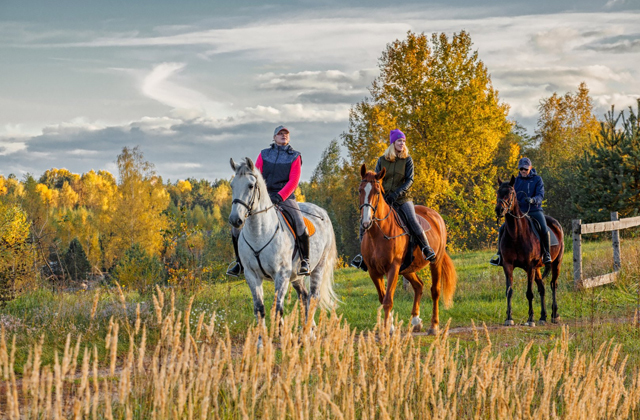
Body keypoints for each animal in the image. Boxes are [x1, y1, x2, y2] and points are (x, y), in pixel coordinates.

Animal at [230, 156, 340, 340]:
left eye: (251, 186)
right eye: (232, 185)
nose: (235, 220)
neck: (259, 232)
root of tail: (322, 212)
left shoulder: (281, 275)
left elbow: (278, 309)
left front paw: (281, 336)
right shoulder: (252, 275)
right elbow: (260, 309)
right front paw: (261, 342)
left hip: (318, 267)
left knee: (313, 297)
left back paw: (308, 333)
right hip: (295, 276)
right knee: (304, 296)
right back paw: (309, 330)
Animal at [360, 164, 456, 334]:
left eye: (377, 192)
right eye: (360, 190)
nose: (366, 222)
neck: (378, 234)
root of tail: (436, 215)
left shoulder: (393, 268)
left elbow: (388, 300)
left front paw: (387, 330)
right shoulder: (374, 271)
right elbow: (383, 298)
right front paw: (390, 326)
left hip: (435, 261)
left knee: (435, 291)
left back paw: (434, 326)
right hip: (408, 268)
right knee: (419, 285)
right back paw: (416, 321)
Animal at [496, 176, 564, 326]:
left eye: (511, 193)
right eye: (498, 192)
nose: (499, 209)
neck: (516, 234)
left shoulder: (529, 266)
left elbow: (529, 293)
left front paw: (530, 319)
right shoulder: (507, 265)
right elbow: (509, 291)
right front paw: (509, 318)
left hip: (556, 263)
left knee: (553, 285)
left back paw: (554, 315)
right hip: (537, 268)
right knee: (542, 288)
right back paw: (543, 317)